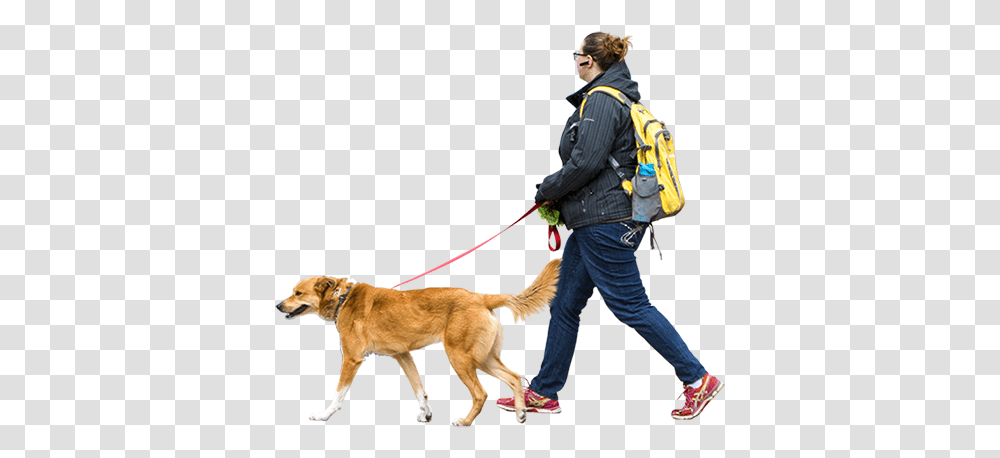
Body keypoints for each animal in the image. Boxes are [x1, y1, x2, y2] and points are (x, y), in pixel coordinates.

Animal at [274, 258, 564, 426]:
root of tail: (481, 297)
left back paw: (465, 422)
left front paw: (323, 416)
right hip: (483, 358)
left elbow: (338, 394)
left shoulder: (352, 359)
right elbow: (419, 389)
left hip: (460, 357)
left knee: (481, 393)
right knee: (513, 377)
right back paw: (520, 412)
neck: (341, 298)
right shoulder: (404, 355)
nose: (277, 305)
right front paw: (426, 414)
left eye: (297, 293)